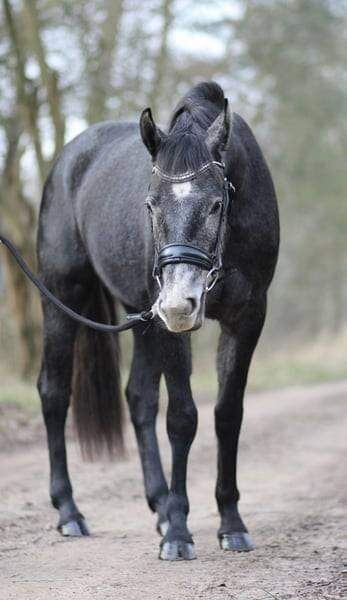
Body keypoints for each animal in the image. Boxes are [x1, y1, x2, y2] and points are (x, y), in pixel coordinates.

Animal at [36, 79, 280, 556]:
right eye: (150, 206)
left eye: (217, 204)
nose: (178, 304)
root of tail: (68, 159)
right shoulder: (171, 327)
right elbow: (182, 417)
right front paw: (180, 534)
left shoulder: (247, 318)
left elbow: (227, 414)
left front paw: (230, 522)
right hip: (65, 298)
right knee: (54, 392)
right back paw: (70, 512)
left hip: (143, 317)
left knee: (138, 397)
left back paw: (159, 504)